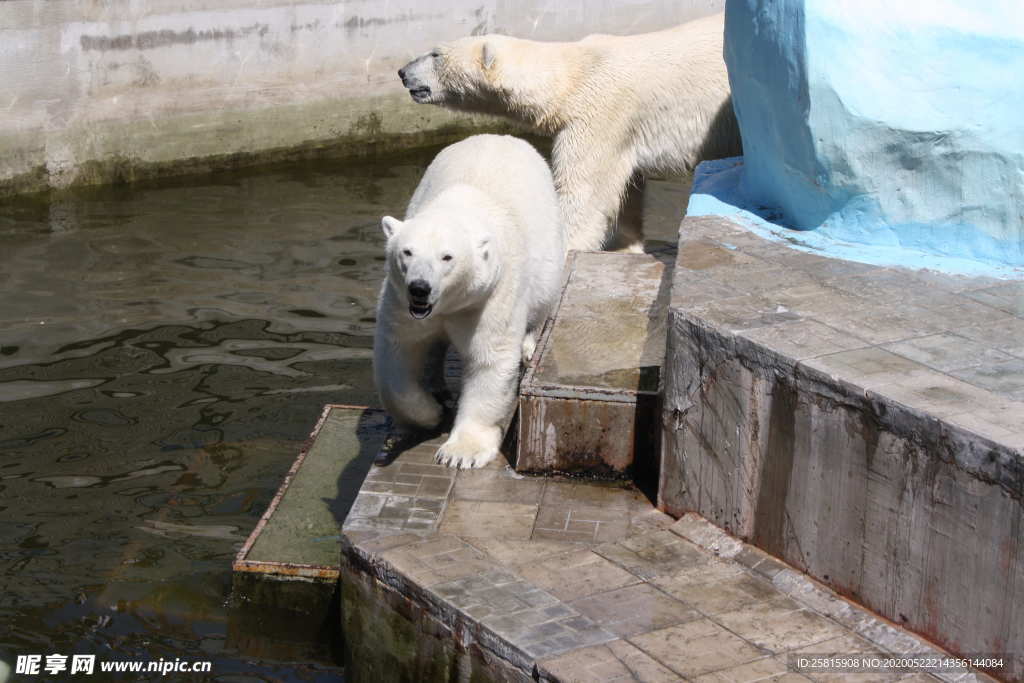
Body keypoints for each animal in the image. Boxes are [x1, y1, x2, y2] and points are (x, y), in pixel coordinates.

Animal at [372, 137, 565, 473]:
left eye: (447, 257)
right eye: (407, 252)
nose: (420, 288)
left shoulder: (492, 293)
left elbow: (490, 357)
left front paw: (461, 452)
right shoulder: (400, 300)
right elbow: (399, 352)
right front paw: (430, 414)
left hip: (547, 246)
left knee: (543, 295)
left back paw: (529, 345)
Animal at [395, 12, 741, 253]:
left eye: (435, 54)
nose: (402, 72)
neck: (574, 75)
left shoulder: (599, 115)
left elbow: (585, 193)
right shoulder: (623, 132)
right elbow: (627, 190)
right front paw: (627, 247)